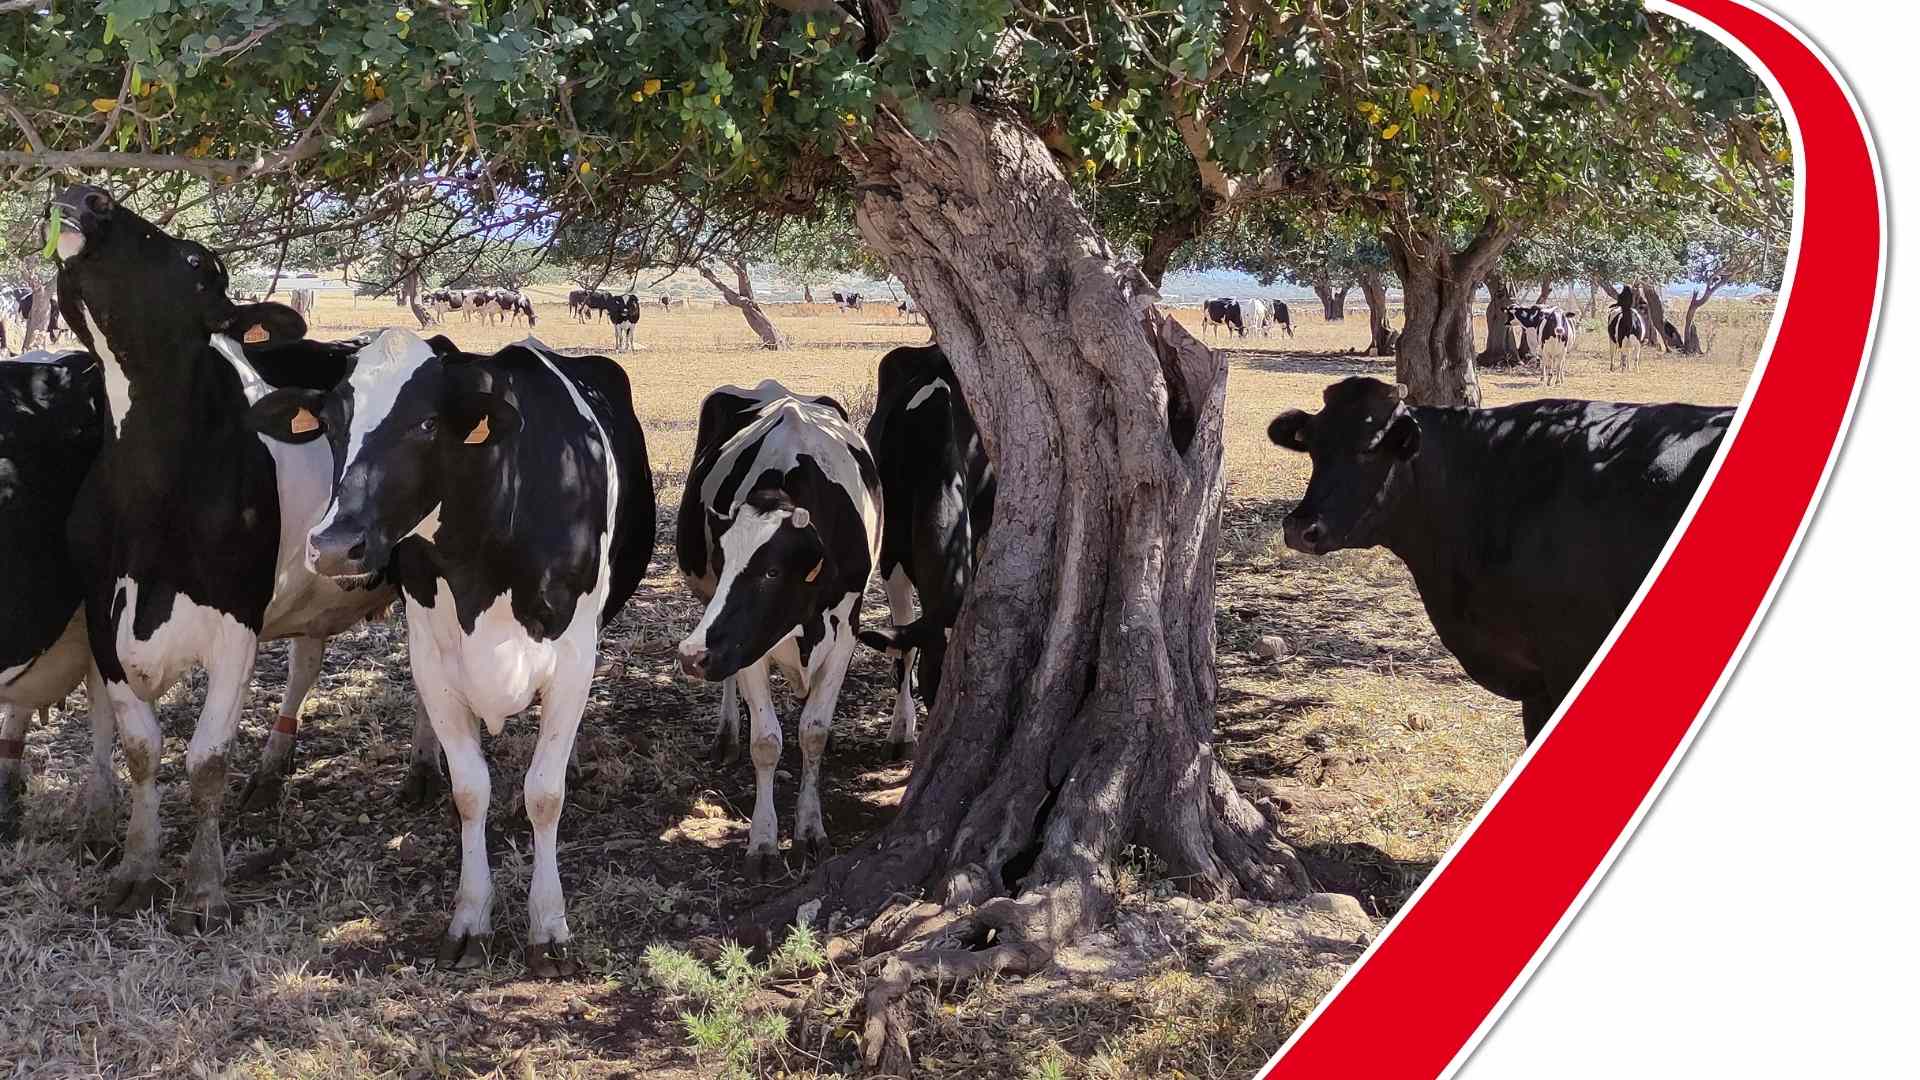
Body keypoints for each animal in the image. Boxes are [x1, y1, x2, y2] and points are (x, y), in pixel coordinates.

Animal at [50, 184, 413, 931]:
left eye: (196, 260)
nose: (86, 195)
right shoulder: (101, 615)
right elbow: (142, 748)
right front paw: (136, 866)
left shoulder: (236, 624)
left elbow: (207, 759)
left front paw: (205, 886)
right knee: (308, 661)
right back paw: (272, 773)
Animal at [245, 327, 655, 976]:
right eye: (332, 423)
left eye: (427, 423)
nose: (334, 545)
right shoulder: (434, 658)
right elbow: (470, 790)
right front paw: (471, 918)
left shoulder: (573, 658)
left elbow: (545, 792)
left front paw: (548, 926)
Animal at [675, 380, 881, 879]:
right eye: (722, 560)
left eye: (771, 572)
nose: (691, 656)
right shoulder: (745, 644)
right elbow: (766, 741)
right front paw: (765, 842)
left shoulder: (846, 632)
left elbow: (814, 731)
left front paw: (809, 830)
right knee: (729, 682)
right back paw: (726, 732)